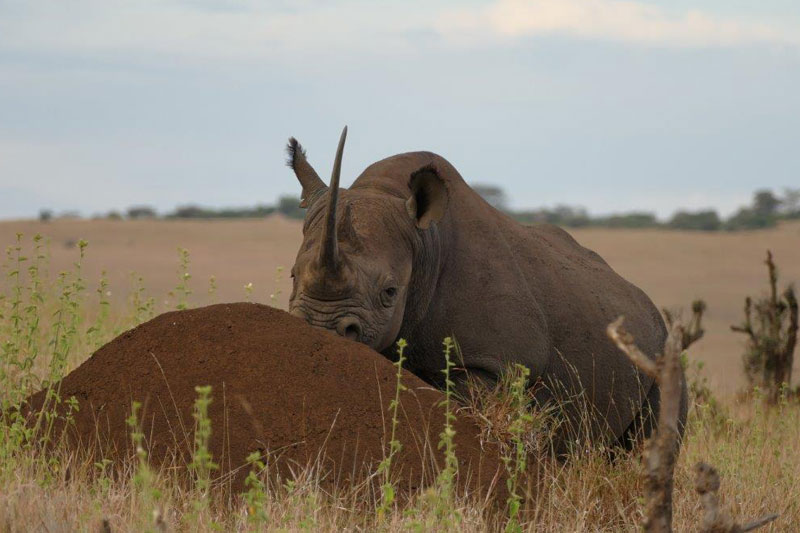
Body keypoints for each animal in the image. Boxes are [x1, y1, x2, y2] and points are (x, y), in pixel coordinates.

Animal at [286, 127, 687, 449]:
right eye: (291, 276)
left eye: (389, 293)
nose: (320, 328)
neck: (425, 242)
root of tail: (649, 306)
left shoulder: (495, 361)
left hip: (665, 354)